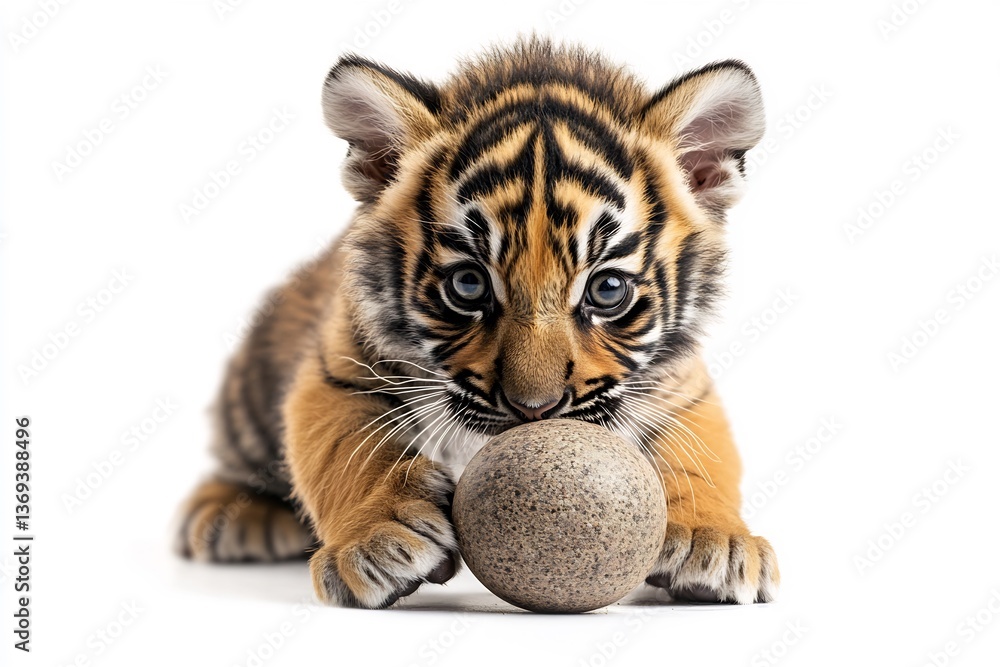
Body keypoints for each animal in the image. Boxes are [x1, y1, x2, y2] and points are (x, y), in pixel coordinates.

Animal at [174, 37, 780, 609]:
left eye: (607, 290)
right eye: (468, 285)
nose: (534, 409)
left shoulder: (680, 388)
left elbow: (703, 458)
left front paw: (713, 542)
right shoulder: (340, 367)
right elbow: (346, 446)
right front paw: (381, 537)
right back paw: (237, 517)